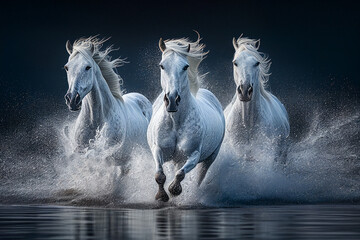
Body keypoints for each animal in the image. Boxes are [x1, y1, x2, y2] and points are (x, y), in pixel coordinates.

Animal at [147, 34, 225, 202]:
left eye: (185, 67)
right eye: (162, 66)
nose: (172, 99)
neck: (175, 122)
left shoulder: (193, 156)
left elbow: (180, 174)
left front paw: (174, 190)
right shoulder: (158, 149)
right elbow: (160, 175)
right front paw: (161, 196)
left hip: (208, 159)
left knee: (199, 178)